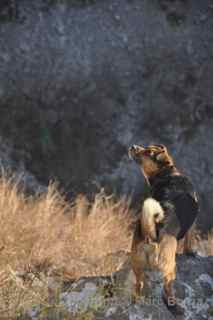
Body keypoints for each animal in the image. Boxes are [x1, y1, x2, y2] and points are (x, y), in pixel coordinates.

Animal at [127, 144, 199, 314]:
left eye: (148, 151)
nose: (133, 146)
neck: (167, 174)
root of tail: (150, 235)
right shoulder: (192, 225)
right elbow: (189, 240)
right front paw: (191, 252)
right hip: (170, 267)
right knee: (167, 288)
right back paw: (176, 307)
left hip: (136, 262)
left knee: (139, 284)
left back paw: (136, 299)